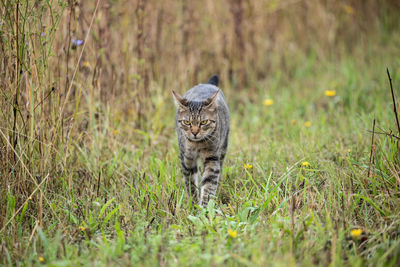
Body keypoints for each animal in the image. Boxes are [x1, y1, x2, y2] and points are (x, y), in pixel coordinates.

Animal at [171, 75, 230, 207]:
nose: (194, 132)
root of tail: (206, 84)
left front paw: (205, 207)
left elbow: (208, 184)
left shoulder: (212, 158)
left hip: (223, 148)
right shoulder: (186, 159)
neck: (196, 145)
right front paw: (192, 203)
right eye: (187, 122)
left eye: (203, 122)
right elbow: (190, 183)